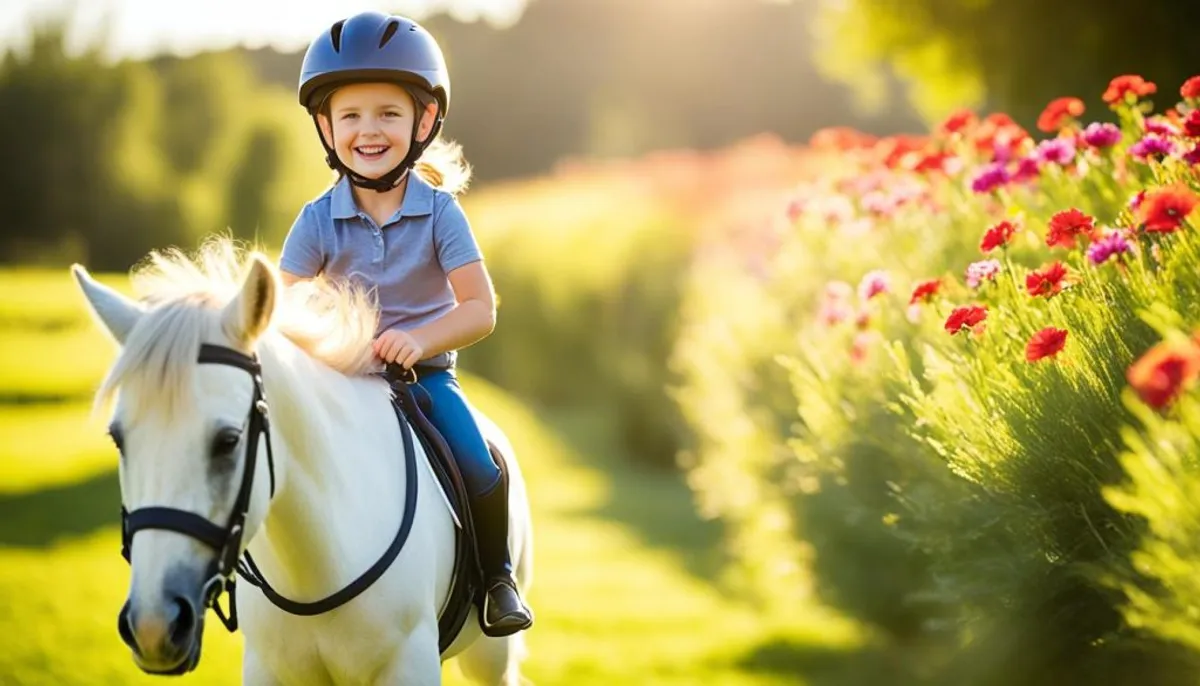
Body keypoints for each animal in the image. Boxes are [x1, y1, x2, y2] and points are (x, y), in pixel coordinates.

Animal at [70, 238, 530, 681]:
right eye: (118, 440)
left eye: (228, 441)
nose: (153, 627)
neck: (319, 563)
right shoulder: (268, 669)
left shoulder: (408, 664)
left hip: (490, 656)